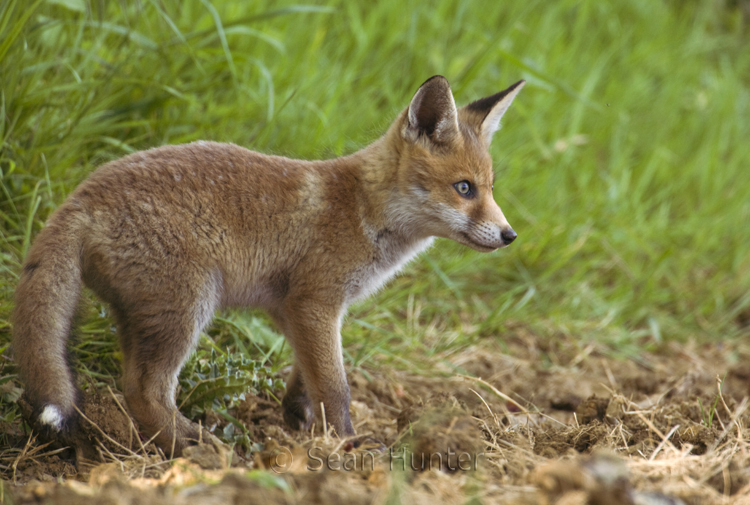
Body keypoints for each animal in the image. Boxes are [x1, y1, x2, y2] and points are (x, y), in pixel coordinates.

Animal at [14, 75, 524, 456]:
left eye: (490, 188)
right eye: (464, 188)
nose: (509, 235)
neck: (365, 212)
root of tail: (82, 194)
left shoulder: (292, 308)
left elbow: (307, 376)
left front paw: (299, 421)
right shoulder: (316, 302)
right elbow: (336, 387)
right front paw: (347, 444)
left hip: (149, 315)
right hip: (188, 307)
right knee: (143, 389)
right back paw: (194, 447)